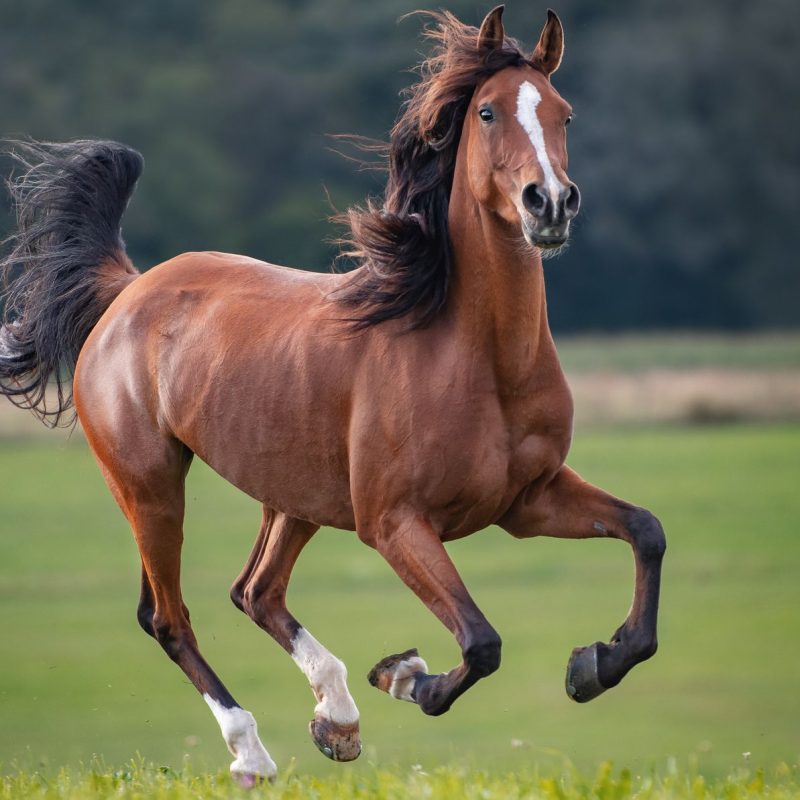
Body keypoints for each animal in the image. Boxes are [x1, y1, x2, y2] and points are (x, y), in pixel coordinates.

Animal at [0, 6, 665, 784]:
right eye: (489, 111)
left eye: (565, 112)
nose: (550, 203)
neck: (475, 357)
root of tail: (127, 292)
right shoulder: (395, 523)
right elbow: (480, 641)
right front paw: (407, 676)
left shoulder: (528, 501)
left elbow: (645, 531)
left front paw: (594, 664)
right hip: (151, 486)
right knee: (169, 616)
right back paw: (255, 753)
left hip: (295, 496)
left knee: (256, 591)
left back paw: (337, 720)